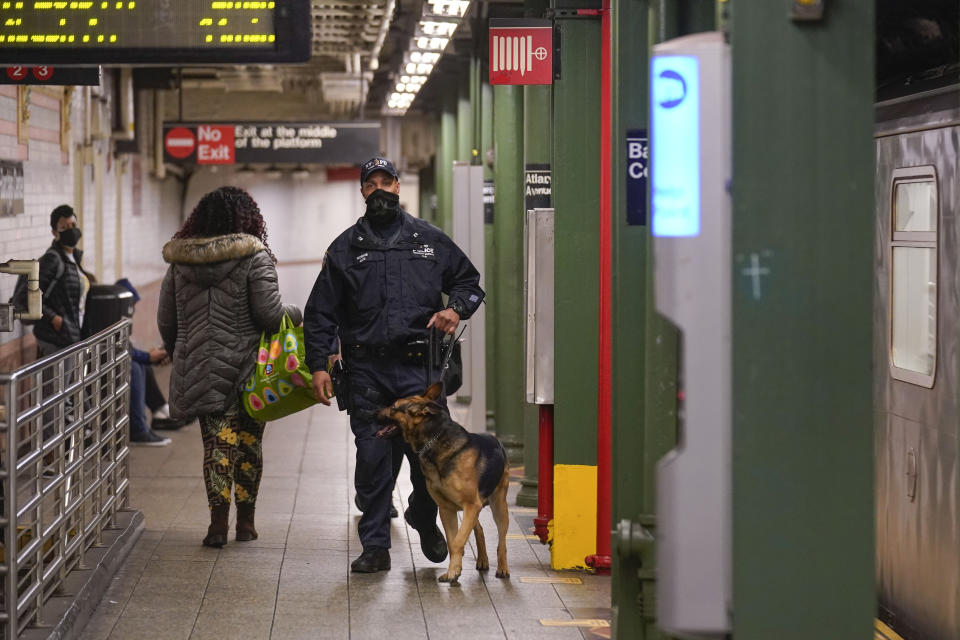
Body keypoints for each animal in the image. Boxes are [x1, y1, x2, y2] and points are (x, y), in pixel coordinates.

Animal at [376, 382, 510, 584]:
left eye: (393, 407)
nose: (372, 411)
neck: (435, 441)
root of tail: (497, 440)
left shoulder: (470, 505)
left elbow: (459, 540)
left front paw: (454, 571)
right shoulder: (447, 509)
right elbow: (454, 542)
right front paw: (453, 571)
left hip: (499, 506)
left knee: (502, 540)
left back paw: (502, 568)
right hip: (475, 509)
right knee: (479, 529)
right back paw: (482, 560)